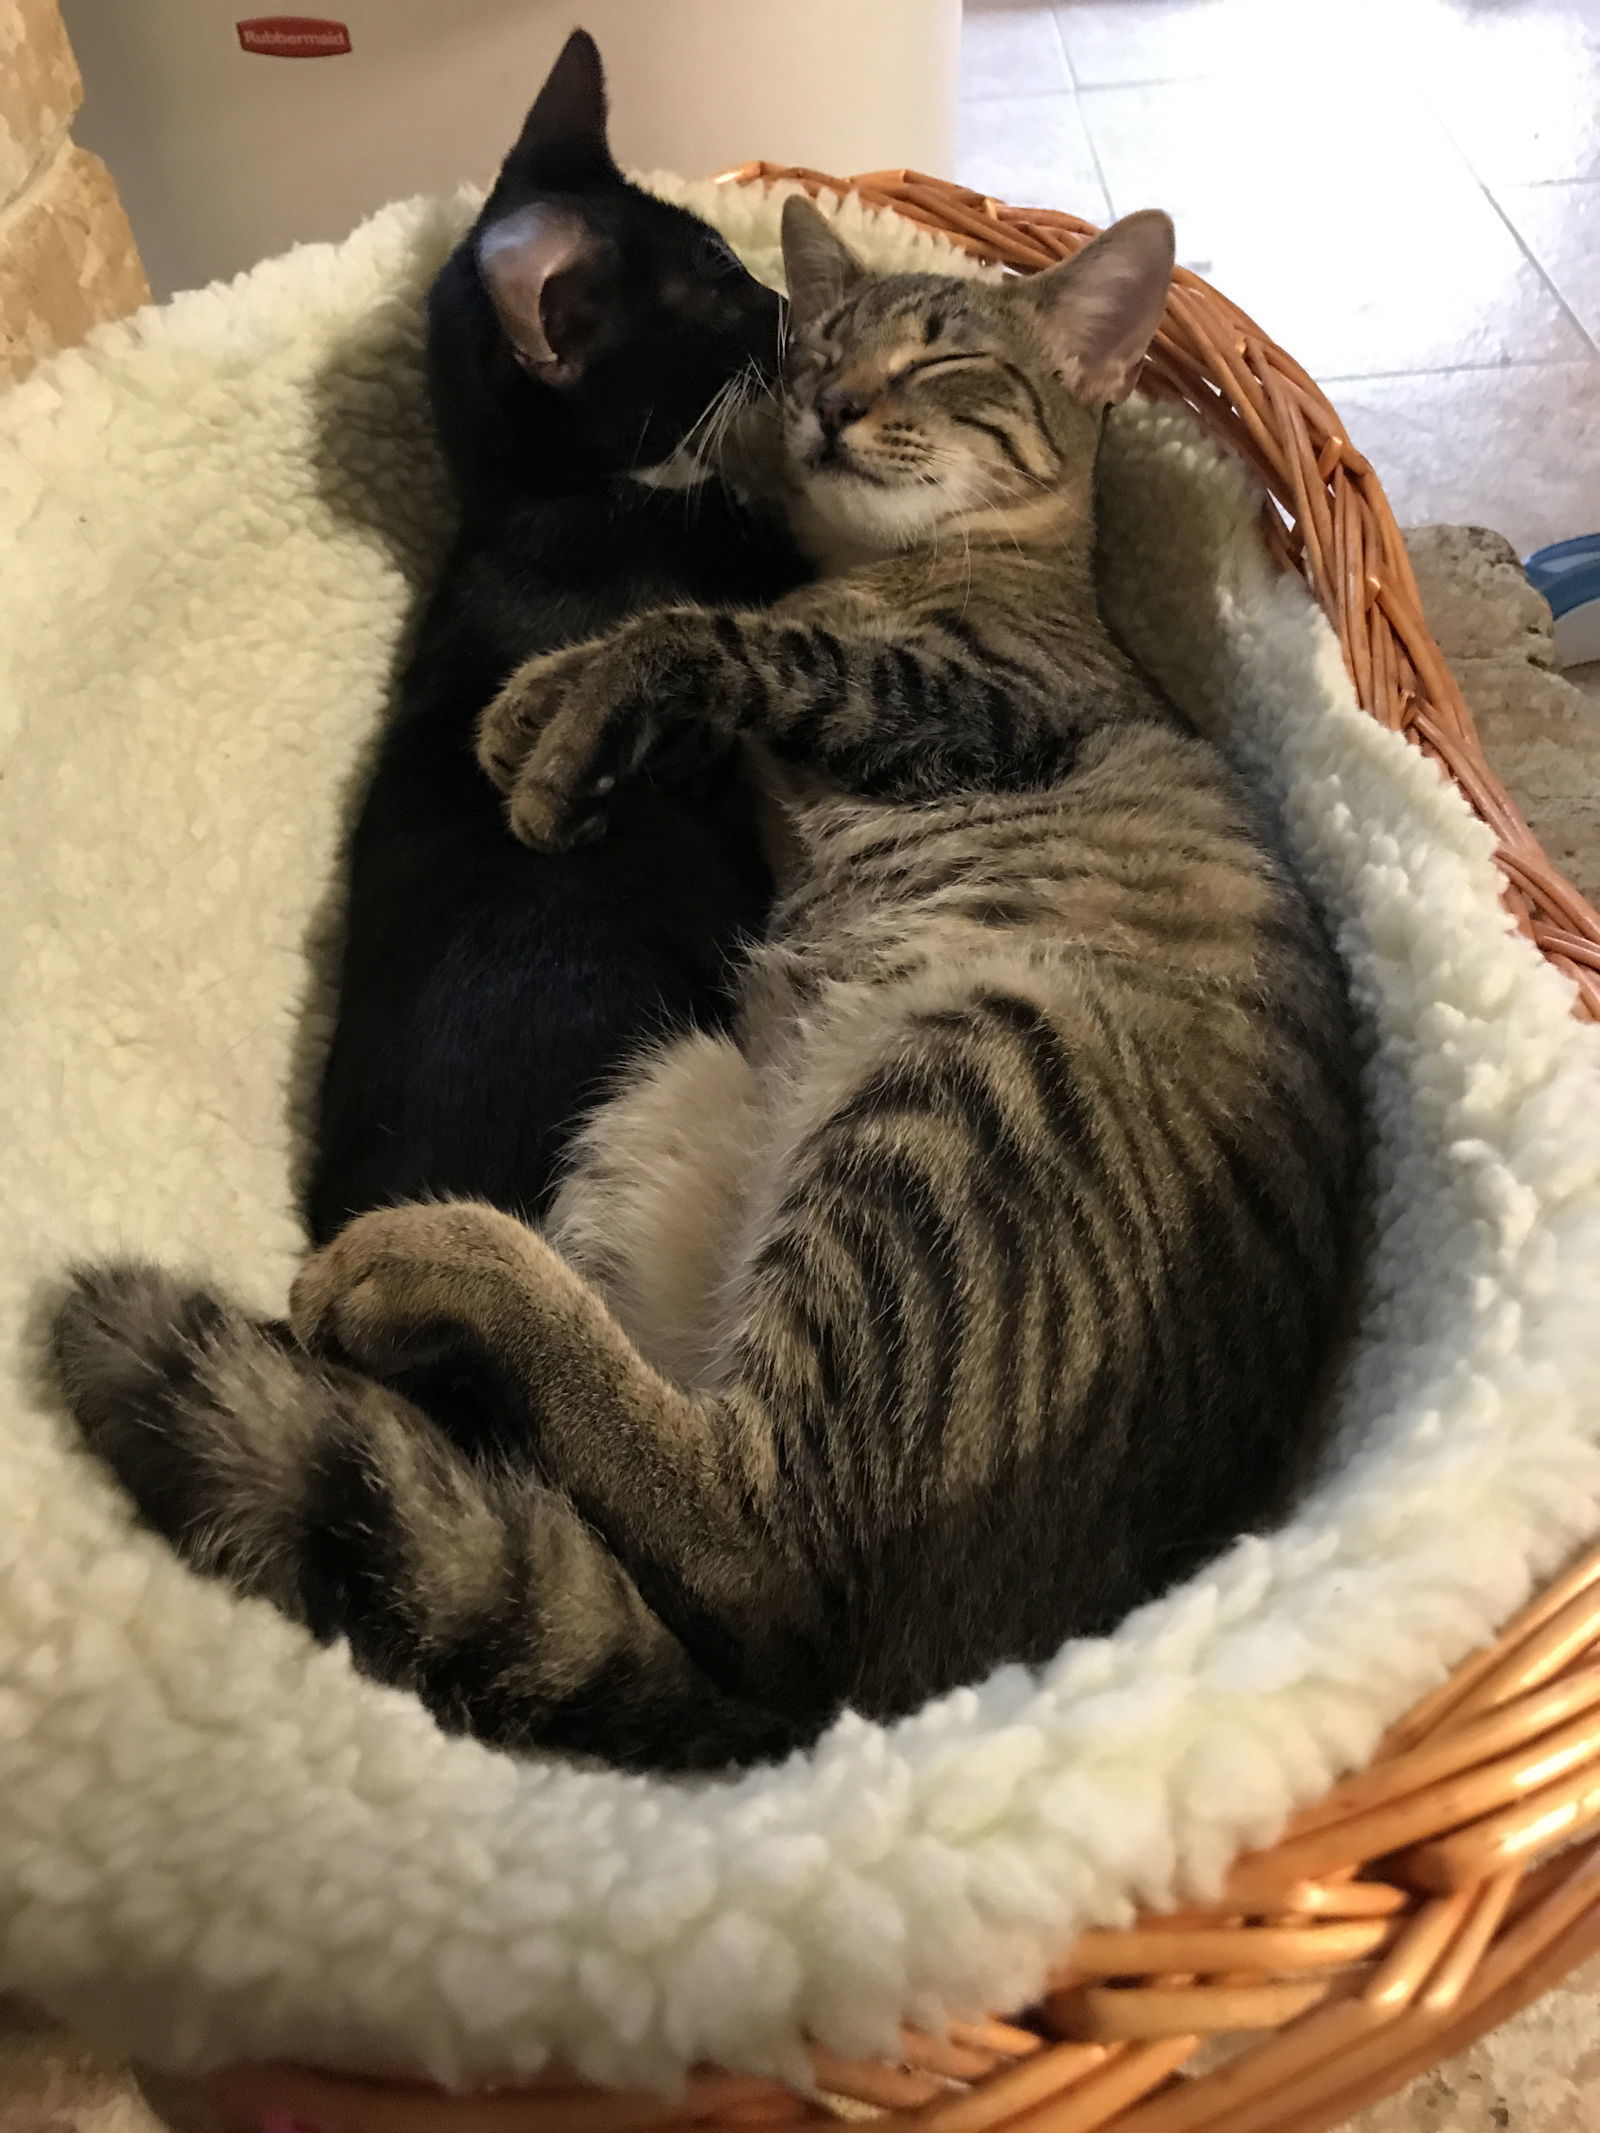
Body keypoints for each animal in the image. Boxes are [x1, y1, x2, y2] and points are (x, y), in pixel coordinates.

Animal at [53, 200, 1365, 1774]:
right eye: (816, 340)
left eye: (943, 358)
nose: (829, 399)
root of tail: (890, 1699)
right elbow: (694, 650)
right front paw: (546, 706)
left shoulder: (970, 701)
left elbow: (718, 638)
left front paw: (556, 715)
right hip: (678, 1086)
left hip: (961, 1069)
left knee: (758, 1540)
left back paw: (427, 1260)